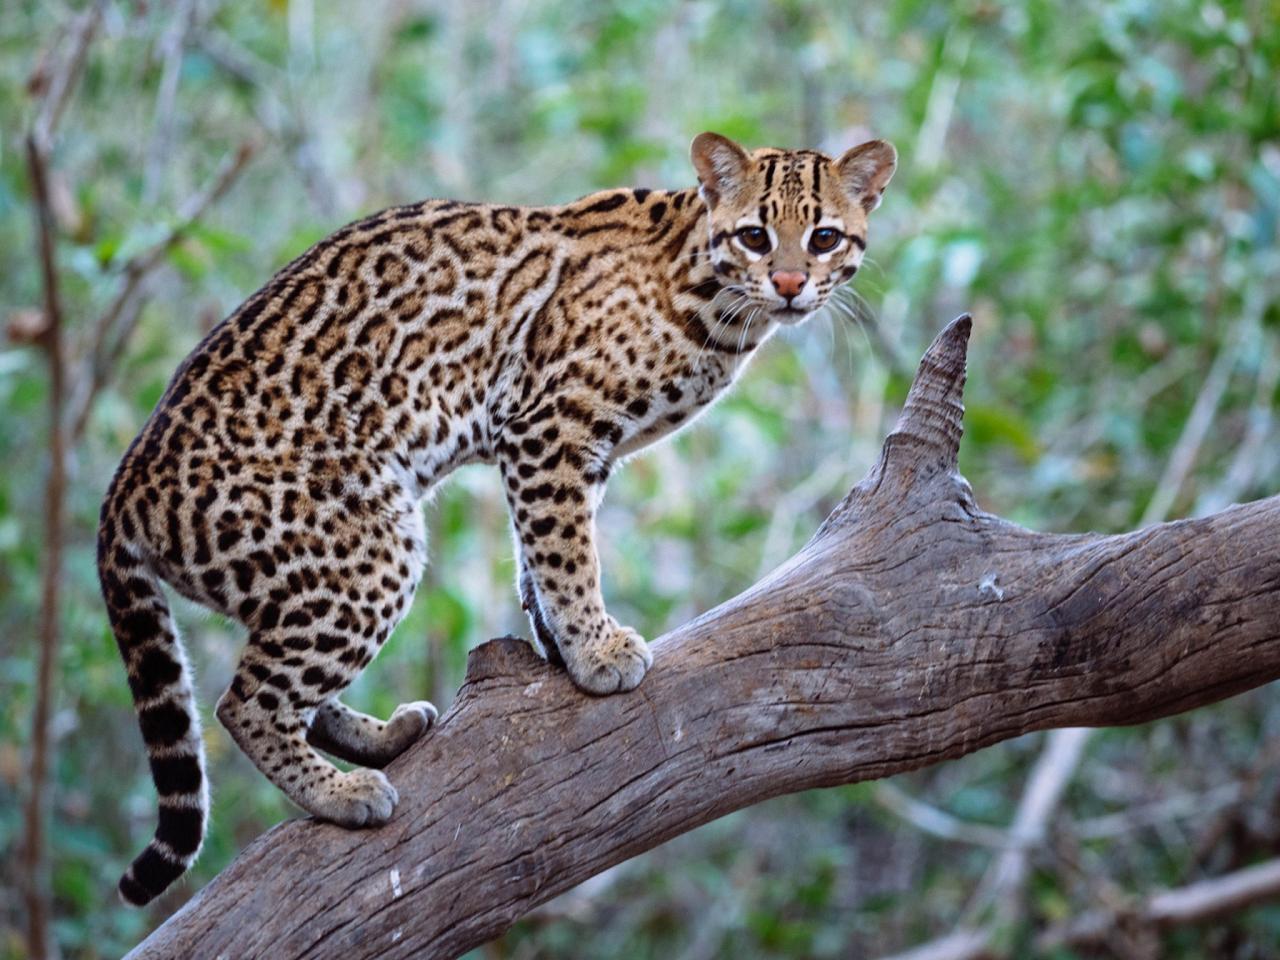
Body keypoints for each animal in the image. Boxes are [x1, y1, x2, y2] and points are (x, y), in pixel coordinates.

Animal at [99, 131, 896, 906]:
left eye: (823, 237)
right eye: (756, 236)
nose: (790, 284)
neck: (712, 296)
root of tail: (123, 488)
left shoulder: (576, 453)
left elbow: (540, 554)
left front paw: (560, 643)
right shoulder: (549, 426)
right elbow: (568, 554)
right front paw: (596, 652)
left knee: (282, 678)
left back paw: (381, 737)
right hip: (369, 553)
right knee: (245, 701)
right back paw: (343, 793)